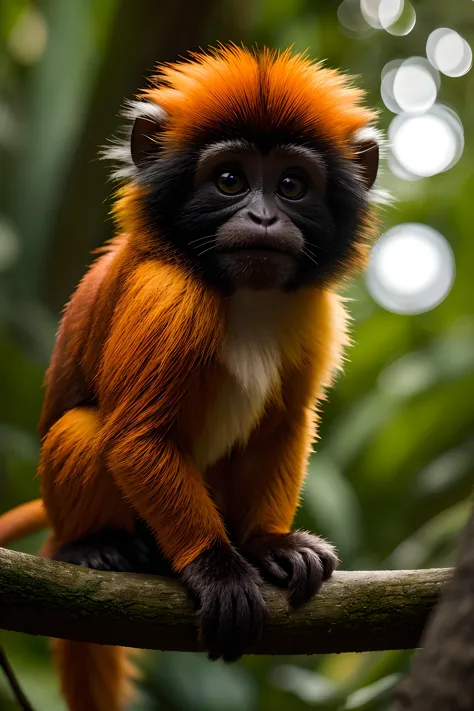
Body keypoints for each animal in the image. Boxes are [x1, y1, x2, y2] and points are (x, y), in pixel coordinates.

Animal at [0, 47, 386, 711]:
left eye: (291, 186)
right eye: (230, 181)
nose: (263, 217)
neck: (244, 293)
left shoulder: (315, 311)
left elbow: (286, 424)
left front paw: (267, 545)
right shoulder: (169, 294)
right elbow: (137, 438)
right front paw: (219, 569)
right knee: (84, 428)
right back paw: (90, 546)